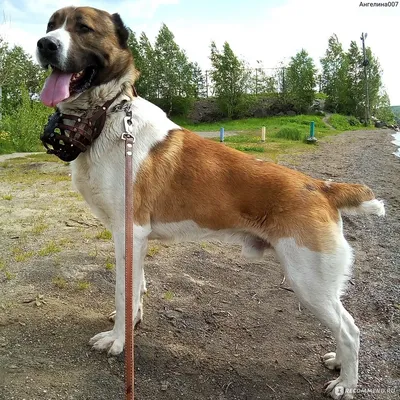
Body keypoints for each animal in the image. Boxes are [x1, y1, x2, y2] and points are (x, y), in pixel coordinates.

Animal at [36, 7, 384, 400]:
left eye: (83, 28)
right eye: (51, 25)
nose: (44, 45)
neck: (108, 116)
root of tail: (323, 188)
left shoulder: (130, 233)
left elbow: (123, 295)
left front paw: (117, 341)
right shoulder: (133, 242)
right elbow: (136, 292)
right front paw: (132, 324)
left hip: (309, 282)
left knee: (350, 330)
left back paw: (346, 383)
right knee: (343, 327)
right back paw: (338, 364)